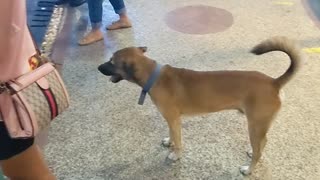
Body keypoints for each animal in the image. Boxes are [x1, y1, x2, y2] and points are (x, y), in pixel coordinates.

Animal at [97, 35, 300, 175]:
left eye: (111, 61)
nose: (98, 68)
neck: (153, 75)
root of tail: (274, 82)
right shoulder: (172, 120)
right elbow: (172, 135)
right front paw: (169, 142)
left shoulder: (174, 119)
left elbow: (178, 141)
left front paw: (175, 154)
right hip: (260, 125)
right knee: (263, 143)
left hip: (255, 125)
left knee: (259, 148)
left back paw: (249, 170)